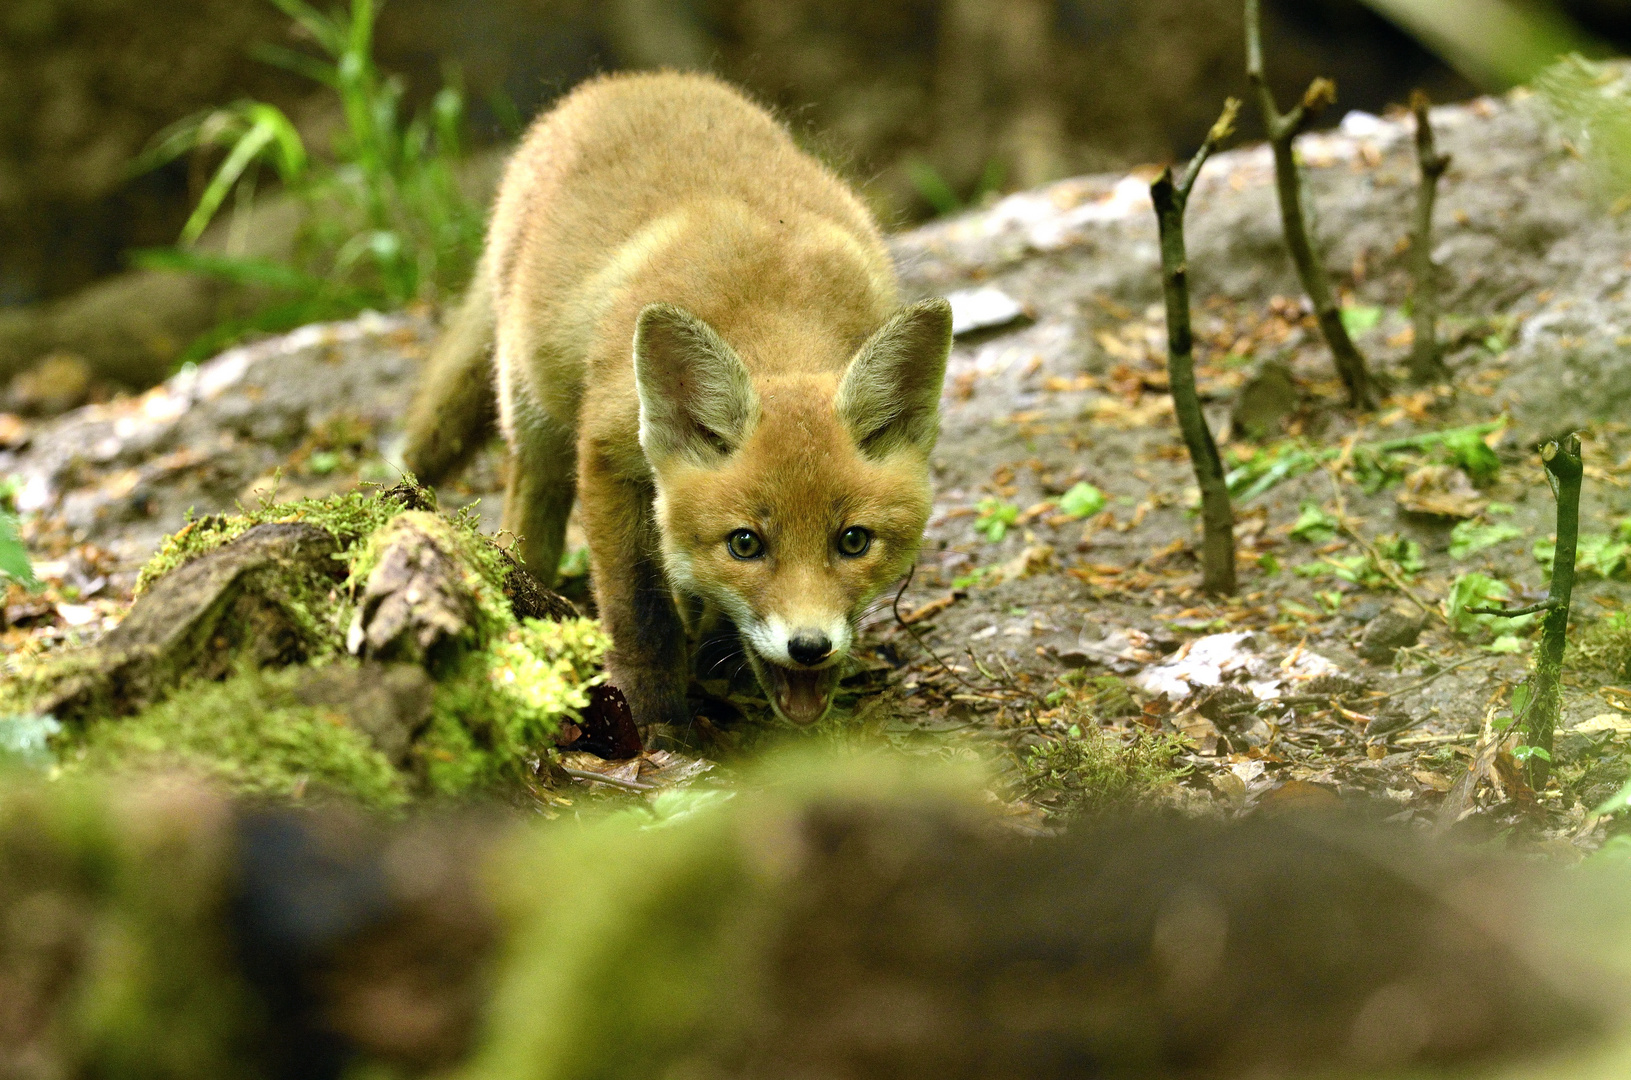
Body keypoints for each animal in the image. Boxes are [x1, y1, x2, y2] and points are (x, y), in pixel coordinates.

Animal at [399, 74, 952, 727]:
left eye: (853, 541)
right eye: (746, 543)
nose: (809, 648)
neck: (777, 309)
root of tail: (620, 83)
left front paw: (717, 658)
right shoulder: (607, 452)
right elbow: (638, 604)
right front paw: (651, 713)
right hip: (530, 403)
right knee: (529, 506)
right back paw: (522, 590)